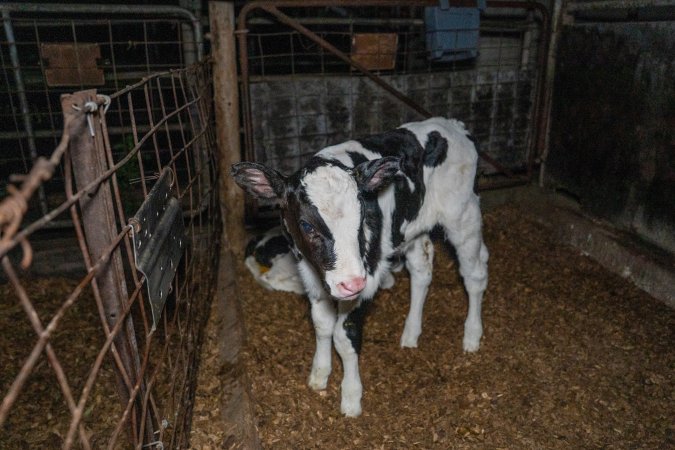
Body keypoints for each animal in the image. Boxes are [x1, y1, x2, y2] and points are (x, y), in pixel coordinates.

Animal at [231, 117, 489, 417]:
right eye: (306, 225)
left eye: (363, 216)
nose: (352, 283)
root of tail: (454, 125)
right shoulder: (312, 275)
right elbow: (322, 325)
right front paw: (319, 373)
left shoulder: (368, 276)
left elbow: (344, 335)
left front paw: (351, 397)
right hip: (412, 228)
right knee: (422, 270)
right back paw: (411, 333)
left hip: (464, 216)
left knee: (474, 273)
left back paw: (472, 336)